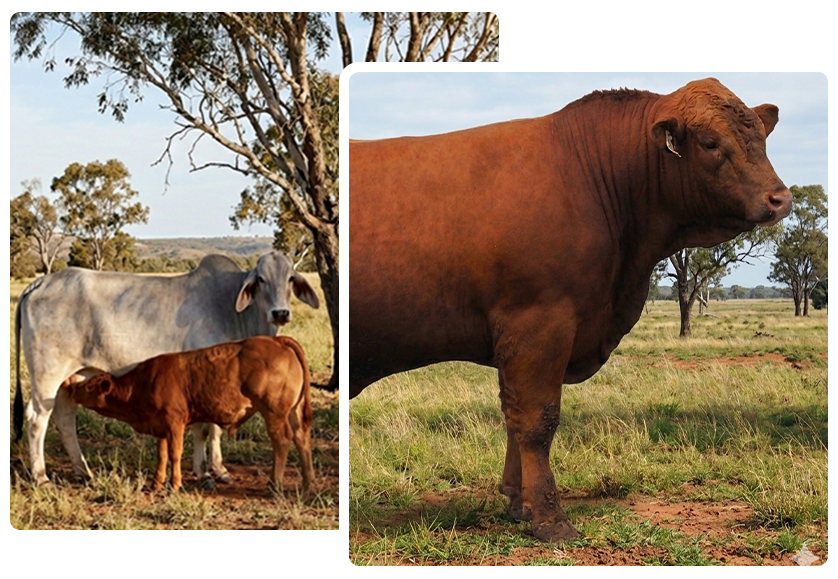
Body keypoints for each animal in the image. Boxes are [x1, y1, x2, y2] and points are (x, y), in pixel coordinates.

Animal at [62, 336, 313, 493]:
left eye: (88, 385)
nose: (69, 385)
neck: (144, 383)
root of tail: (276, 340)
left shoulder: (175, 422)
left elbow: (175, 454)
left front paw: (174, 485)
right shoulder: (160, 427)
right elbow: (162, 455)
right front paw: (156, 483)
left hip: (274, 412)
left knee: (282, 440)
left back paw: (274, 484)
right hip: (293, 411)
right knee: (301, 438)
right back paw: (308, 483)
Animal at [348, 78, 792, 542]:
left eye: (762, 138)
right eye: (710, 143)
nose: (781, 198)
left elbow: (512, 415)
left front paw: (518, 501)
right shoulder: (540, 324)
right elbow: (536, 420)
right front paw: (550, 518)